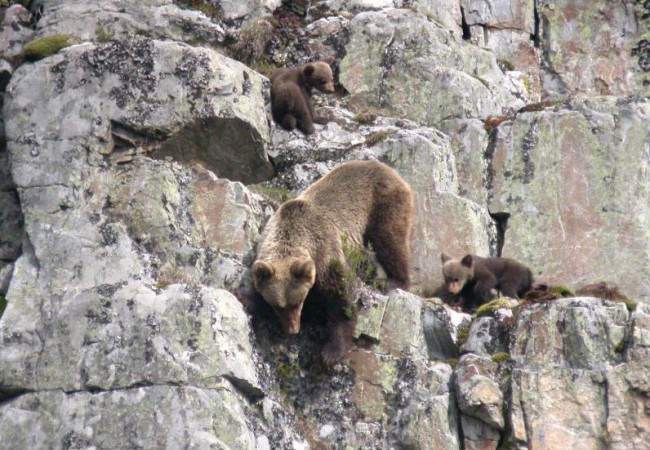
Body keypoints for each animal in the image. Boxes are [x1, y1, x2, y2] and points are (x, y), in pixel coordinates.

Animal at [251, 160, 412, 364]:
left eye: (297, 301)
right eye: (278, 306)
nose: (293, 329)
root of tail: (388, 168)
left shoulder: (326, 254)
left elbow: (341, 298)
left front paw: (331, 352)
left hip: (384, 203)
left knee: (389, 239)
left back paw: (394, 281)